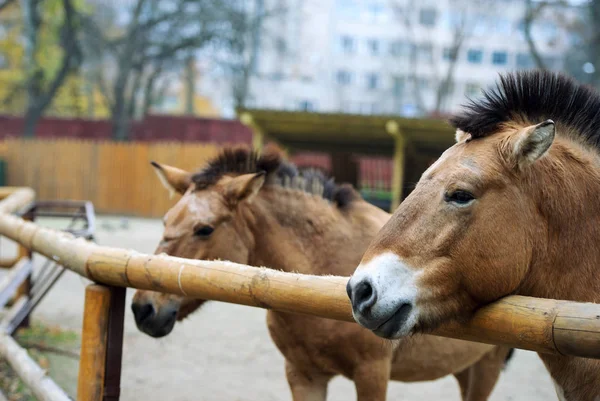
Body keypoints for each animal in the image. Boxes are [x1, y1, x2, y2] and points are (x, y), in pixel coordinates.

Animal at [131, 146, 510, 400]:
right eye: (165, 222)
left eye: (205, 229)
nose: (143, 309)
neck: (318, 277)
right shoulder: (304, 375)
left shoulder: (371, 374)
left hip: (485, 369)